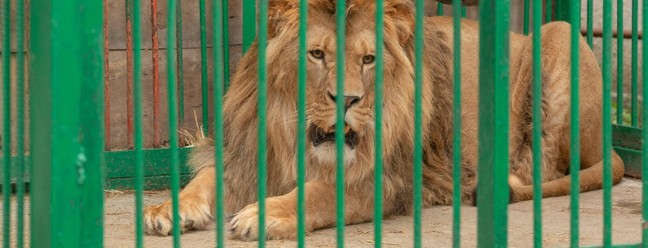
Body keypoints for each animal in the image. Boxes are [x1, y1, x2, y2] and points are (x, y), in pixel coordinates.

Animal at [143, 0, 624, 240]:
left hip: (560, 33)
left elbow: (322, 193)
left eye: (369, 59)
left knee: (544, 168)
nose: (348, 99)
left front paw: (266, 214)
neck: (296, 136)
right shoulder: (247, 155)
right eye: (317, 54)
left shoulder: (390, 179)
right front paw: (169, 208)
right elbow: (205, 179)